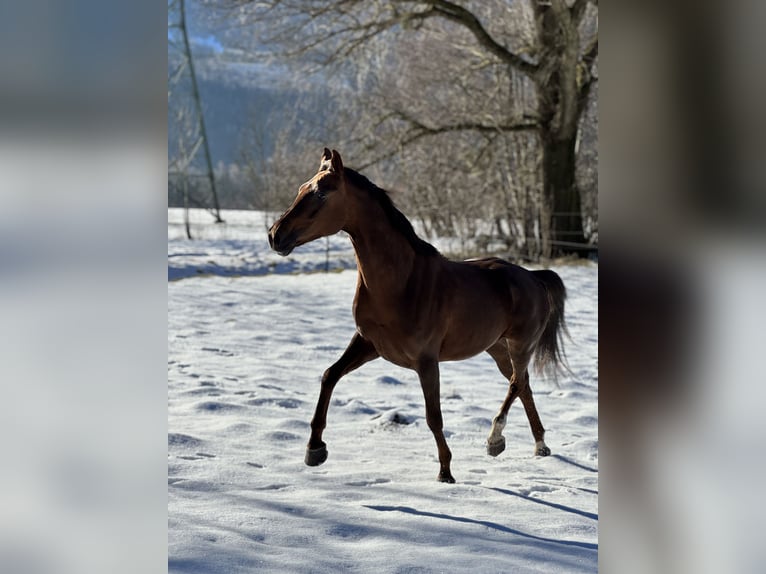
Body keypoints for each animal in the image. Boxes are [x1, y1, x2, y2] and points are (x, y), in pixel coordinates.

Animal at [268, 148, 568, 483]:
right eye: (301, 189)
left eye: (321, 193)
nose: (275, 235)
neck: (402, 282)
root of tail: (534, 277)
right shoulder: (368, 344)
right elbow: (329, 376)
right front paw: (315, 449)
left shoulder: (426, 360)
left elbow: (433, 416)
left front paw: (446, 472)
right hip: (498, 349)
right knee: (524, 384)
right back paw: (540, 445)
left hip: (520, 345)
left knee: (516, 384)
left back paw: (495, 440)